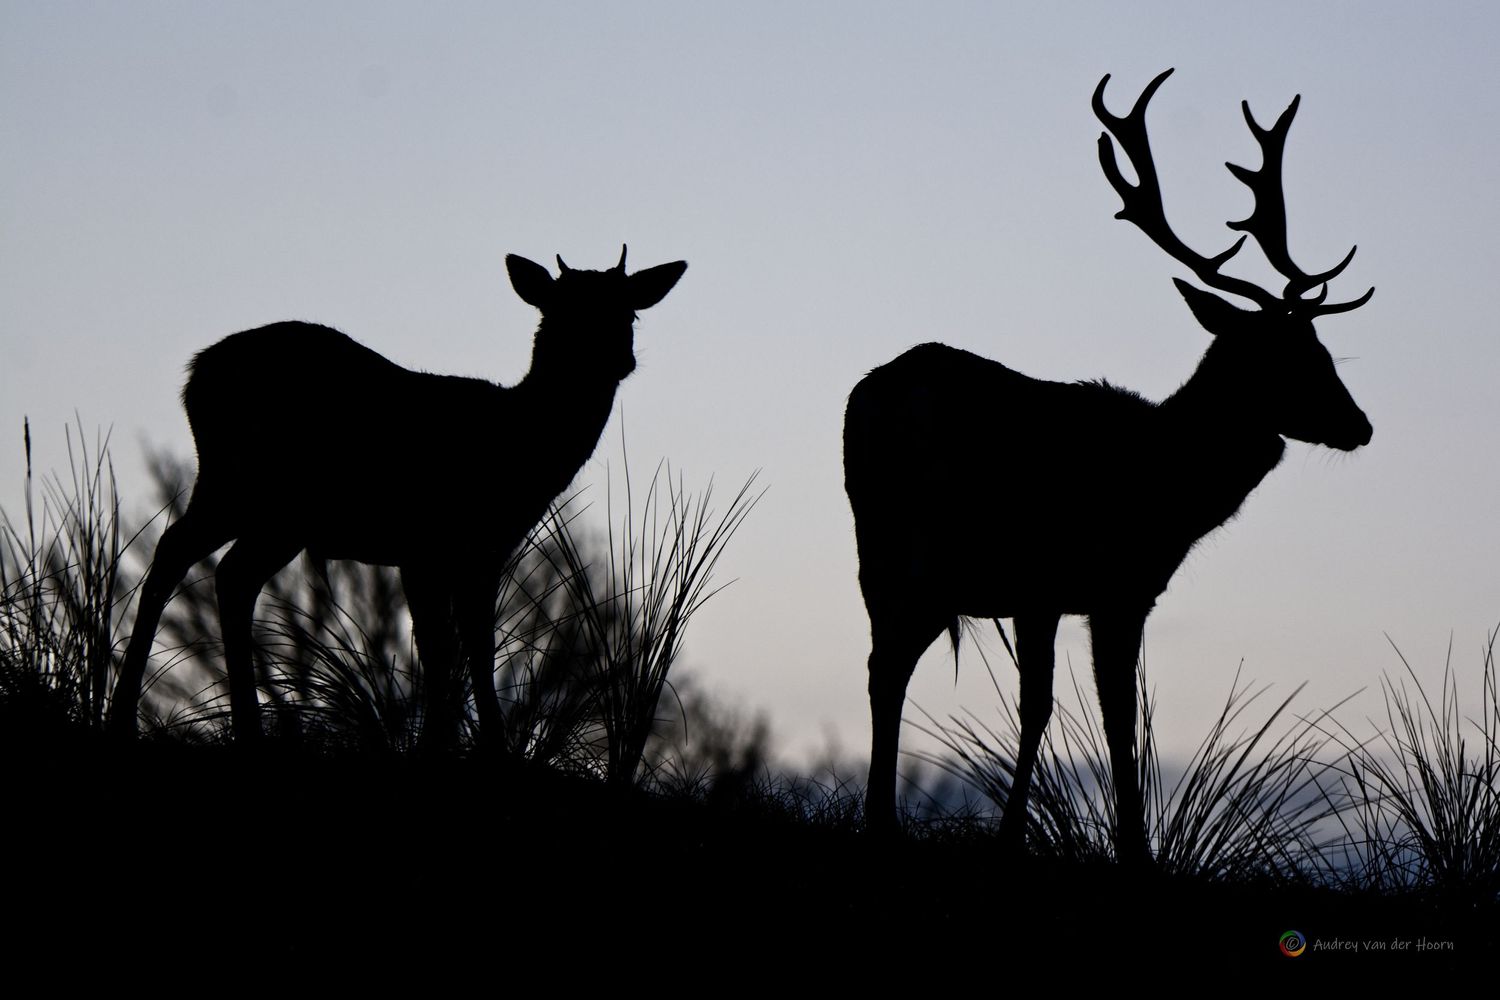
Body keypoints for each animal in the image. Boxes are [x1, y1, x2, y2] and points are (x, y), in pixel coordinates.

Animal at [108, 246, 687, 747]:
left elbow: (462, 646)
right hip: (268, 496)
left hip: (234, 490)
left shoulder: (471, 553)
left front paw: (463, 746)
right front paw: (457, 747)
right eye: (562, 310)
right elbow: (450, 648)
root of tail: (194, 376)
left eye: (629, 313)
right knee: (219, 569)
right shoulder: (435, 544)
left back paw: (145, 716)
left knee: (194, 559)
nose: (617, 357)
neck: (518, 445)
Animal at [845, 69, 1373, 859]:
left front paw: (1036, 837)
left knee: (885, 665)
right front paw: (1118, 846)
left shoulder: (1066, 593)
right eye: (1287, 357)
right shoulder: (1093, 583)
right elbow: (1099, 714)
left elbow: (1063, 710)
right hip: (926, 549)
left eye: (1324, 350)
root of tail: (875, 396)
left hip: (881, 550)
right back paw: (881, 821)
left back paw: (882, 819)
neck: (1165, 490)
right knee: (891, 665)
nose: (1360, 425)